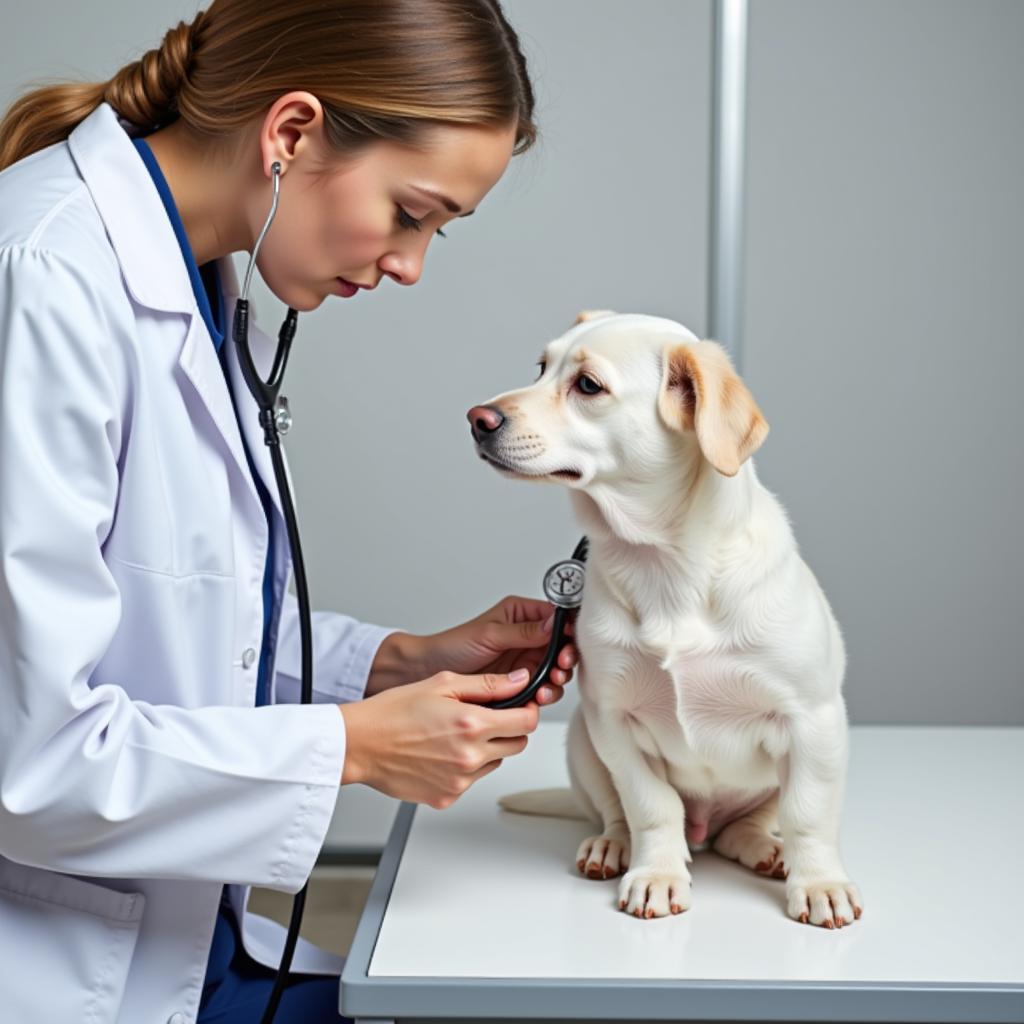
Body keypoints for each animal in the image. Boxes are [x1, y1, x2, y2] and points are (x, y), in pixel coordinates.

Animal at [468, 309, 864, 929]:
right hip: (582, 740)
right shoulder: (614, 720)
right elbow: (651, 806)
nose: (476, 419)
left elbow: (809, 814)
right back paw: (614, 846)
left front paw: (820, 882)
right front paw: (656, 873)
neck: (665, 564)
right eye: (540, 367)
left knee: (747, 826)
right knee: (617, 812)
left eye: (588, 385)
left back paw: (764, 848)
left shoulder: (813, 720)